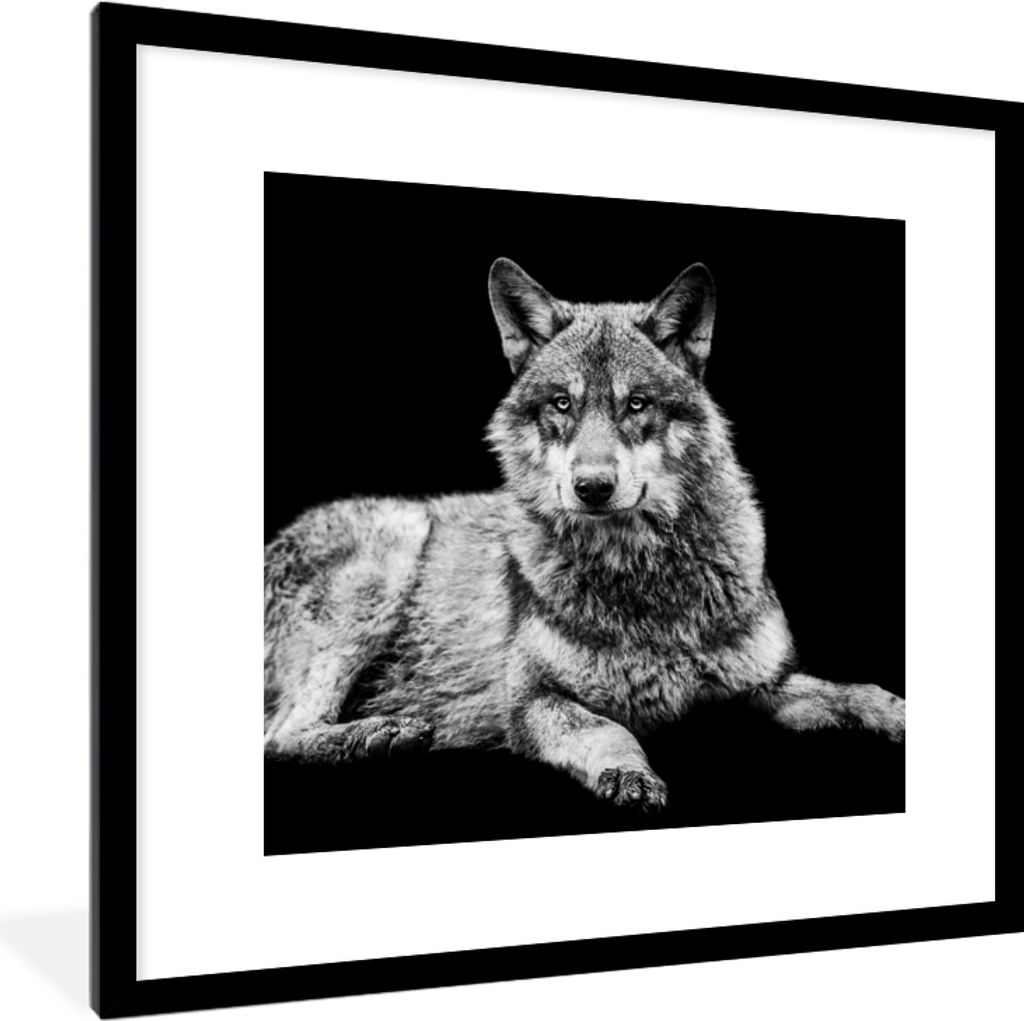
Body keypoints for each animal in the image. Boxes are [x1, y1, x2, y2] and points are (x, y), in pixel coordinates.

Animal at [264, 258, 905, 810]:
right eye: (562, 404)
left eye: (637, 404)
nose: (592, 487)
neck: (642, 578)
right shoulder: (533, 702)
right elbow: (607, 729)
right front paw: (628, 774)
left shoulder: (764, 685)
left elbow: (854, 692)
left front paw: (897, 712)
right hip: (390, 554)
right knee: (279, 737)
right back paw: (383, 733)